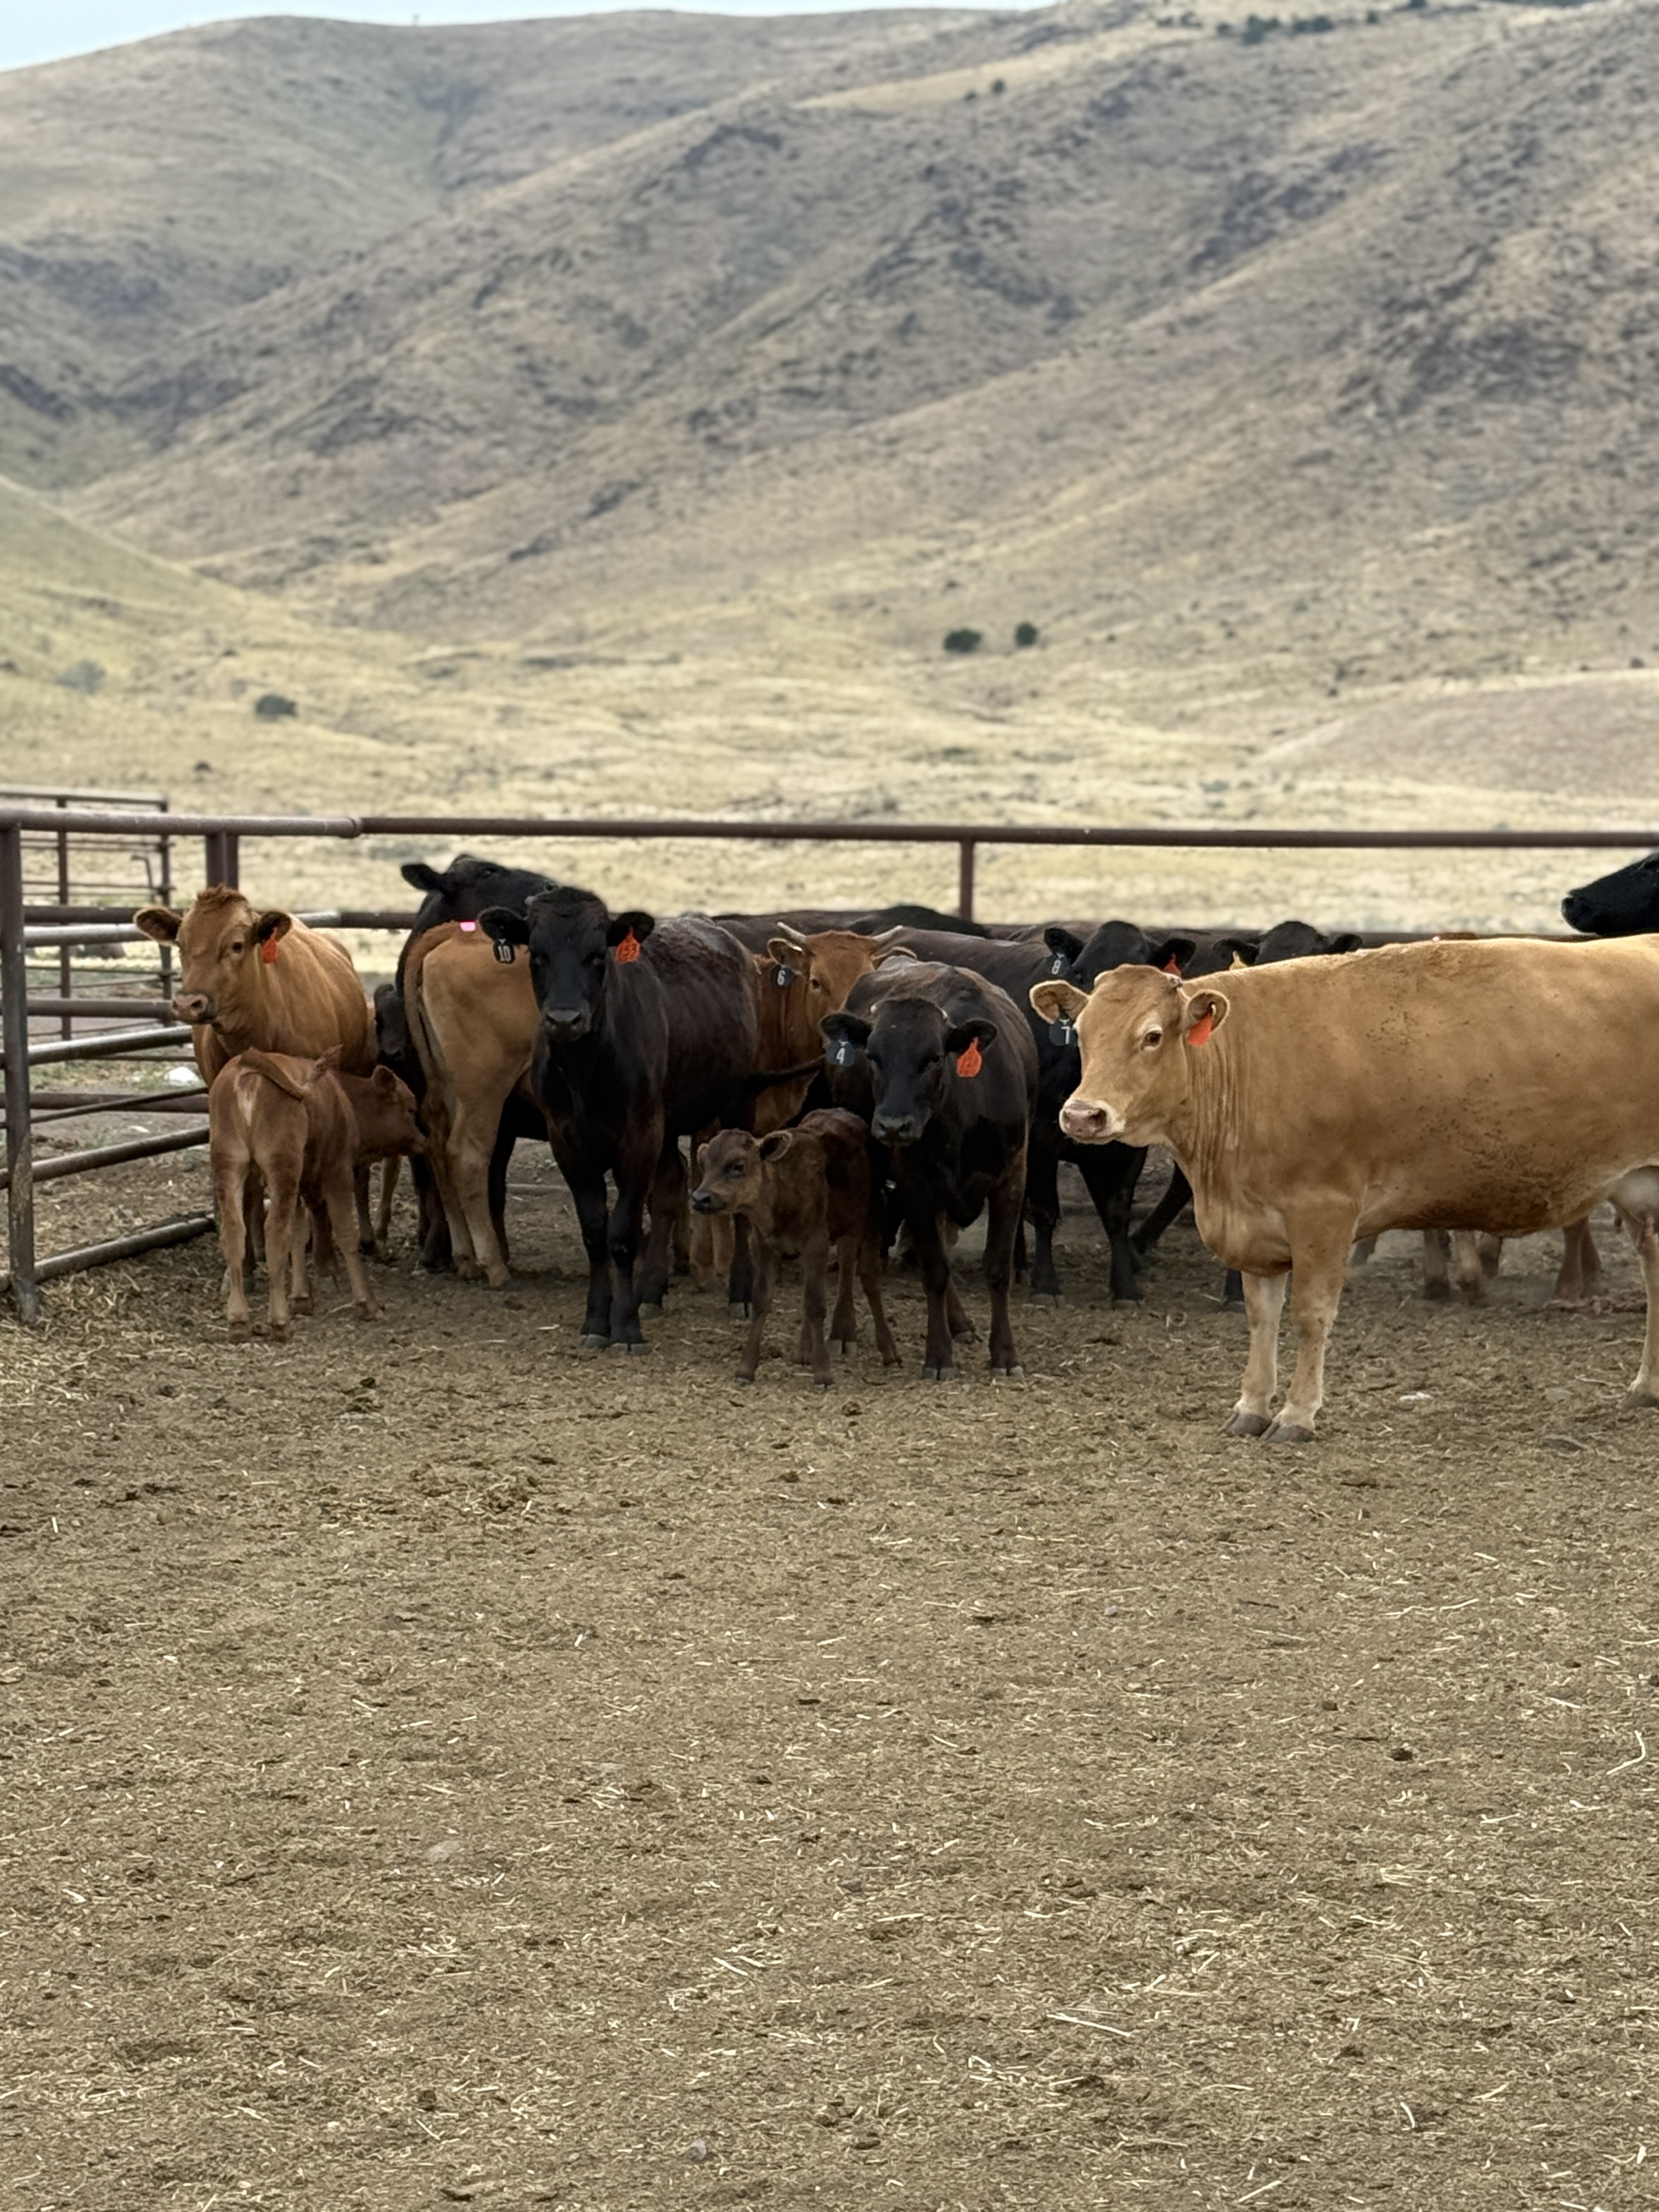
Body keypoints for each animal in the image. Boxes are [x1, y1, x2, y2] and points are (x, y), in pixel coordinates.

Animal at [209, 1050, 423, 1343]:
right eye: (410, 1109)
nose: (424, 1141)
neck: (342, 1099)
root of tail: (247, 1065)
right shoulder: (337, 1172)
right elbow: (345, 1234)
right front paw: (367, 1304)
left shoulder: (301, 1182)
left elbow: (300, 1233)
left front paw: (302, 1298)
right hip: (280, 1167)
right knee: (275, 1231)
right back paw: (279, 1322)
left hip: (231, 1165)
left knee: (234, 1232)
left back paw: (239, 1321)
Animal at [478, 887, 761, 1349]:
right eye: (536, 954)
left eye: (598, 955)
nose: (564, 1019)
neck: (586, 1072)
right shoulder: (568, 1141)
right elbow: (596, 1231)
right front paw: (597, 1320)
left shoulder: (638, 1137)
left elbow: (624, 1232)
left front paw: (626, 1327)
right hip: (667, 1122)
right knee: (670, 1186)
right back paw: (651, 1292)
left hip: (740, 1099)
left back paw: (741, 1294)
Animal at [691, 1109, 901, 1386]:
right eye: (705, 1165)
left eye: (738, 1165)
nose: (700, 1198)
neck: (782, 1192)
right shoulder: (763, 1245)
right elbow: (764, 1300)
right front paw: (746, 1368)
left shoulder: (816, 1244)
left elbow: (815, 1304)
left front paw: (823, 1373)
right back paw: (804, 1351)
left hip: (867, 1221)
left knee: (867, 1280)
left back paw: (889, 1352)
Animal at [823, 961, 1037, 1379]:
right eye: (873, 1056)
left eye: (935, 1057)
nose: (893, 1125)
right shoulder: (914, 1185)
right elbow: (934, 1270)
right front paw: (938, 1357)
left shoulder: (1011, 1180)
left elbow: (997, 1269)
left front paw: (1005, 1355)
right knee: (851, 1246)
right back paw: (843, 1330)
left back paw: (961, 1324)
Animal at [1034, 935, 1659, 1441]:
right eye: (1082, 1034)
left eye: (1153, 1036)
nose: (1083, 1115)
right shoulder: (1255, 1225)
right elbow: (1261, 1316)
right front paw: (1251, 1407)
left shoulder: (1325, 1213)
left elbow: (1311, 1315)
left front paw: (1297, 1415)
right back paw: (1647, 1386)